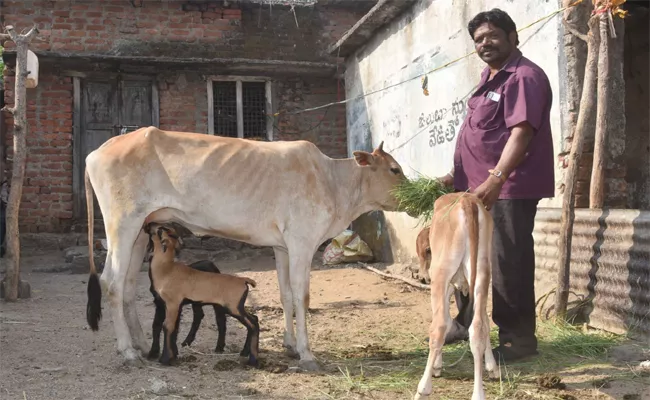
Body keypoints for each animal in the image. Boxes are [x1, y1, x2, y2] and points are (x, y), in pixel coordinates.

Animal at [83, 126, 408, 370]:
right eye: (394, 169)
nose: (413, 193)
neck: (333, 181)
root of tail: (97, 151)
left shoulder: (283, 247)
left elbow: (286, 294)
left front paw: (290, 345)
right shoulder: (302, 242)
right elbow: (301, 296)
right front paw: (307, 354)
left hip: (140, 232)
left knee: (127, 284)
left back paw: (139, 345)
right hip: (122, 224)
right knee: (111, 282)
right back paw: (127, 351)